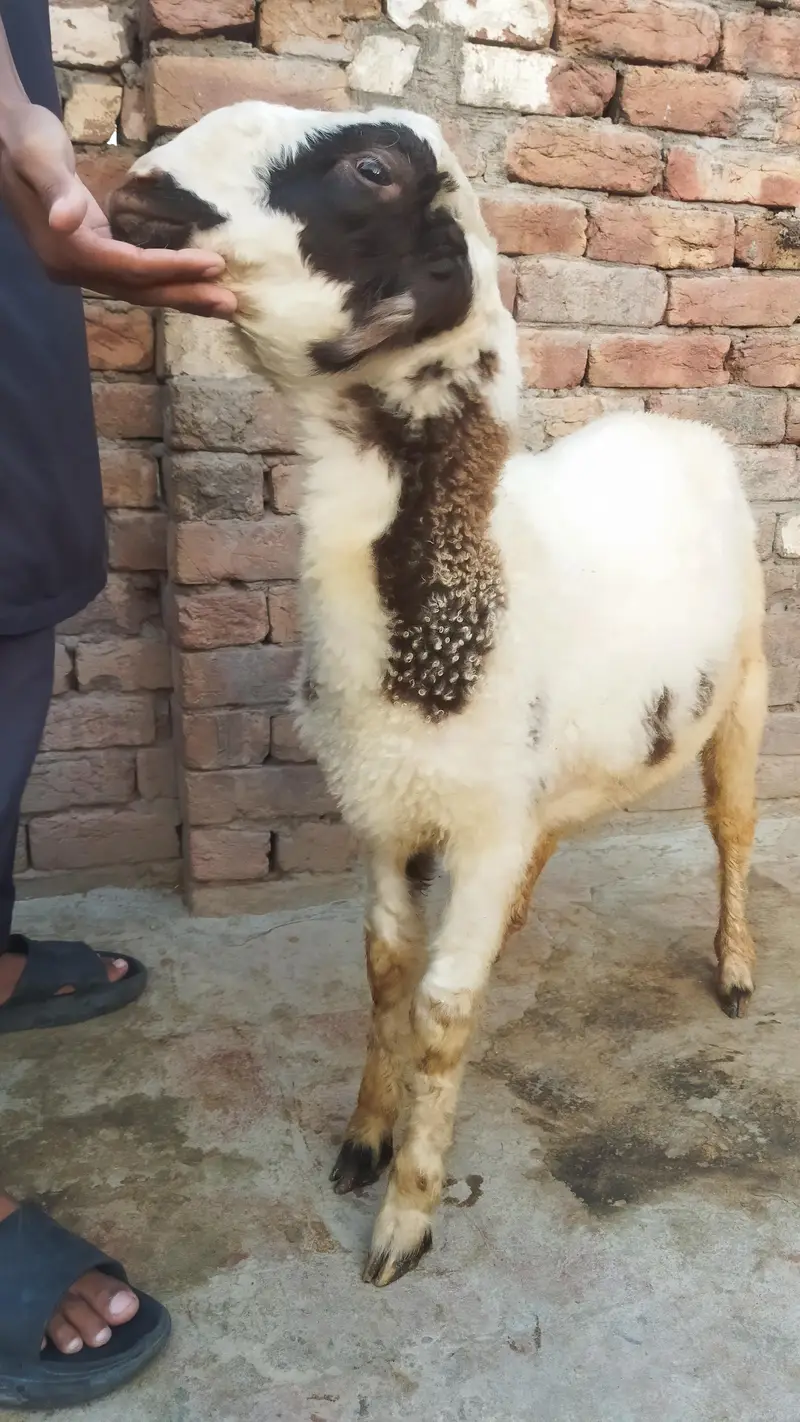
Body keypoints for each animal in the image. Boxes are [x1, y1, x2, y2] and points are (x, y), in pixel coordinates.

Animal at [109, 102, 768, 1288]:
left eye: (372, 171)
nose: (132, 192)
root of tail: (670, 422)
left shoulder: (480, 818)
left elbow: (444, 1009)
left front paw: (405, 1219)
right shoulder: (387, 808)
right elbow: (384, 969)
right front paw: (364, 1140)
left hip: (743, 689)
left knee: (732, 831)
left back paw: (734, 966)